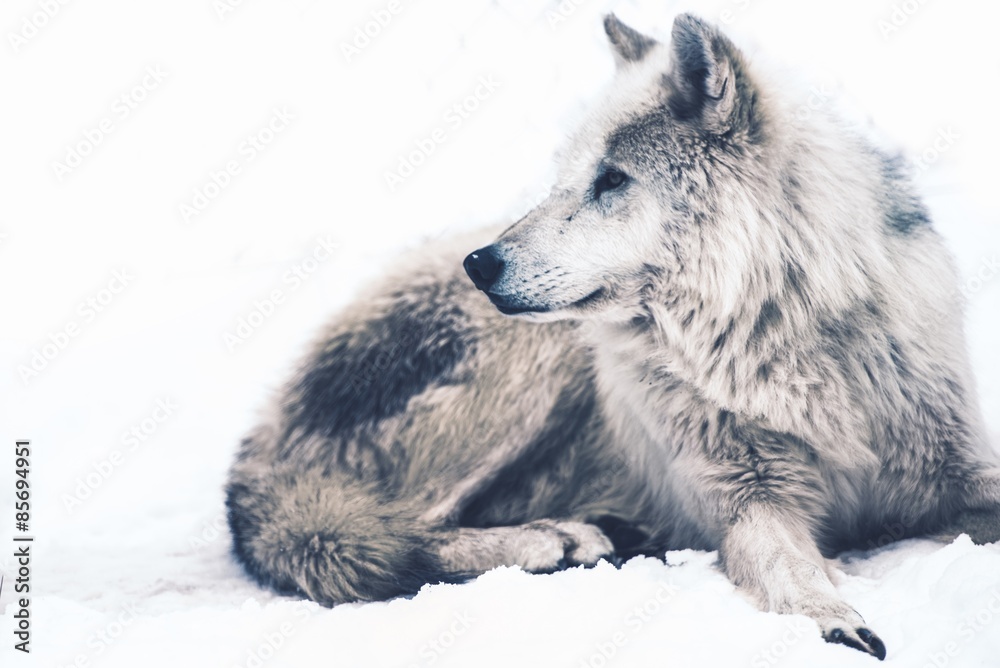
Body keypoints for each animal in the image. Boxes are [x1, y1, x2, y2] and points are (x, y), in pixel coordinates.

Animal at [226, 13, 1000, 660]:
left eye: (613, 180)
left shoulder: (955, 469)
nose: (481, 265)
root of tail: (257, 444)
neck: (774, 341)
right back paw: (561, 539)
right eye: (565, 178)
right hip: (540, 359)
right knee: (370, 538)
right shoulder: (749, 501)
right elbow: (787, 567)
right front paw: (833, 620)